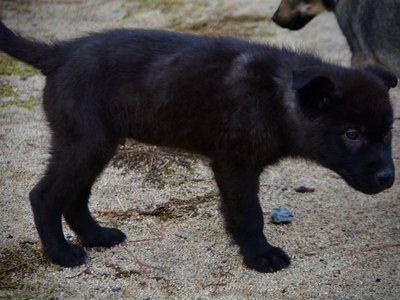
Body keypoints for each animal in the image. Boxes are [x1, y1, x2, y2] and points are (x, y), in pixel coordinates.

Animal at [0, 22, 396, 274]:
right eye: (352, 134)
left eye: (389, 133)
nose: (388, 177)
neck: (277, 95)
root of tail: (59, 53)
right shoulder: (234, 164)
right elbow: (248, 214)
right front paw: (260, 256)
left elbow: (237, 214)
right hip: (85, 143)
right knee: (44, 195)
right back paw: (61, 254)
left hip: (94, 146)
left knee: (75, 197)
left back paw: (97, 236)